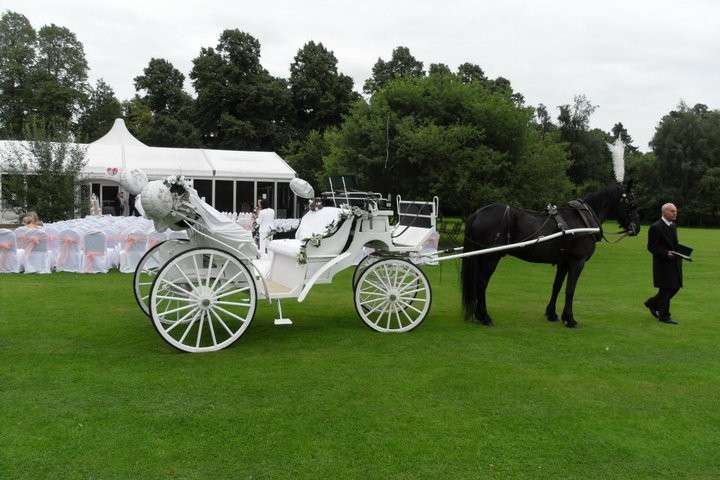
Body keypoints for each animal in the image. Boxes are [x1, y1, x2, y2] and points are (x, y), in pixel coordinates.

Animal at [462, 182, 640, 328]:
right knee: (481, 283)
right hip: (491, 257)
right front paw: (570, 319)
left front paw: (552, 313)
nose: (636, 228)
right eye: (632, 204)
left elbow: (557, 287)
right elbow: (570, 289)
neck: (582, 219)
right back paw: (484, 316)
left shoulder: (564, 263)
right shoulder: (577, 262)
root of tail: (478, 213)